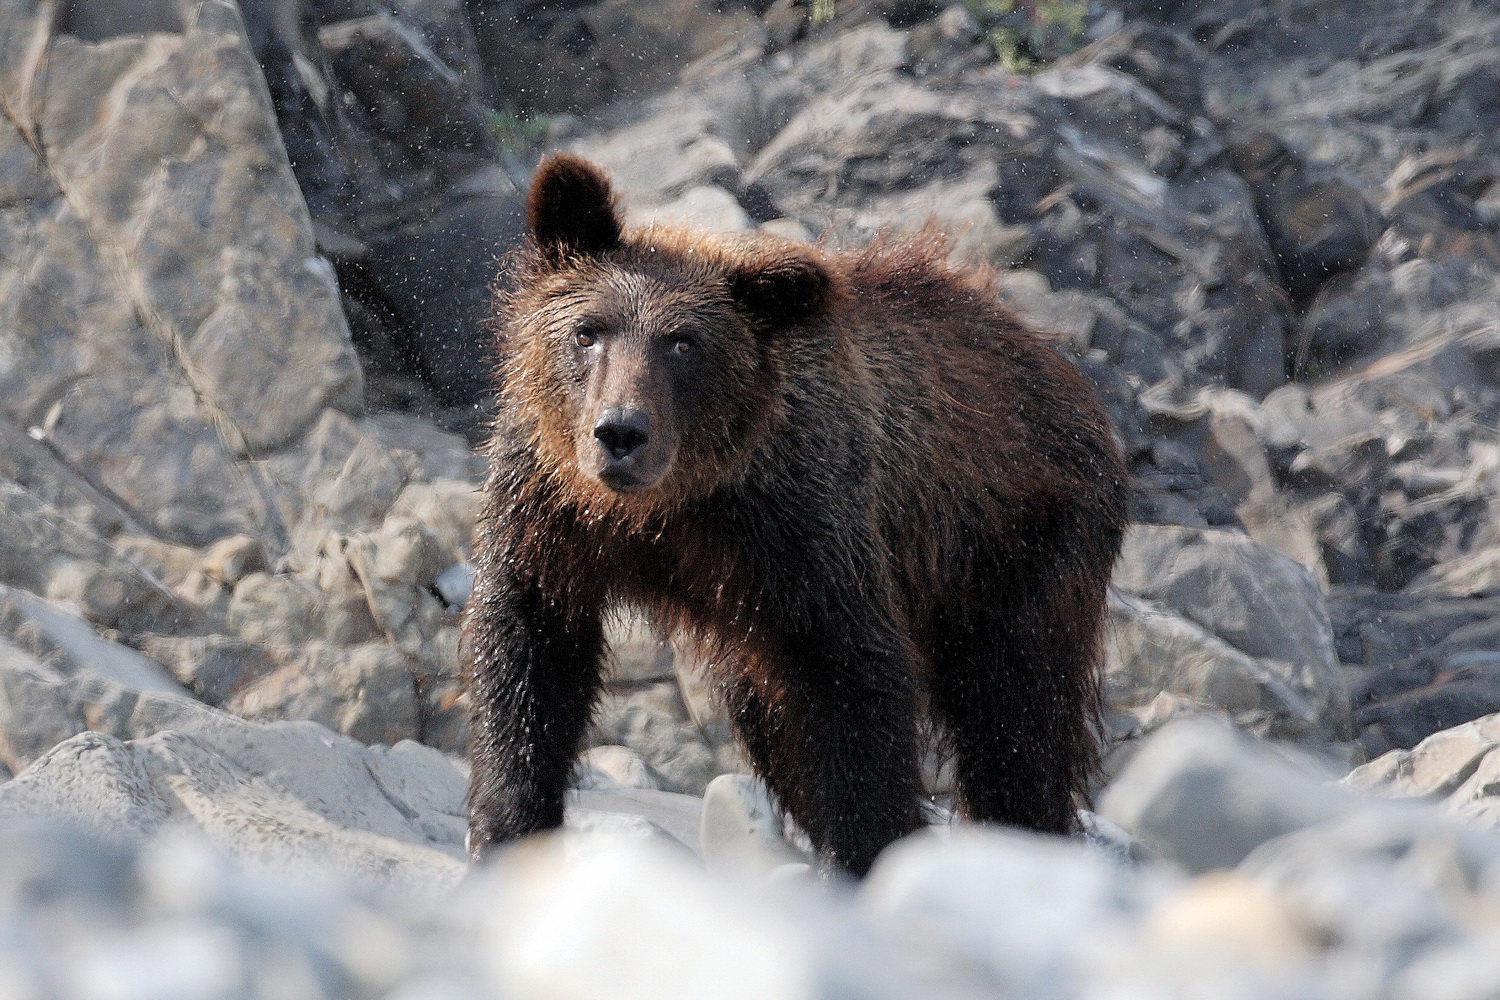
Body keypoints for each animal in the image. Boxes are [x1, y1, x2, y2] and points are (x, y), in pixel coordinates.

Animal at [462, 153, 1130, 877]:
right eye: (588, 331)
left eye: (684, 344)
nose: (620, 434)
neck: (670, 505)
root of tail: (1062, 370)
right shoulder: (549, 512)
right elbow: (529, 655)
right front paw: (508, 826)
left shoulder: (803, 523)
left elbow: (852, 681)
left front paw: (875, 849)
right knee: (771, 716)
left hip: (1017, 544)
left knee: (1015, 714)